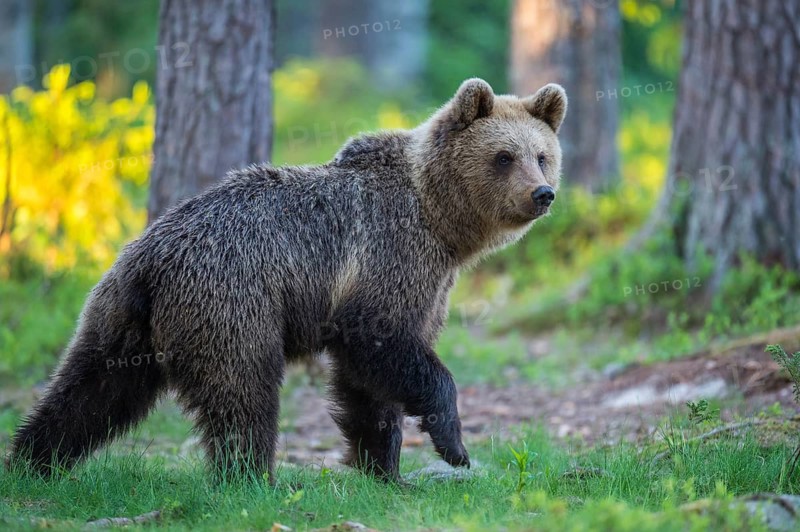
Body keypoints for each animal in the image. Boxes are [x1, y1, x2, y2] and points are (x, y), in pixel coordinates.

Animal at [9, 78, 567, 482]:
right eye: (503, 156)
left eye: (543, 155)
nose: (542, 194)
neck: (440, 221)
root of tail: (151, 258)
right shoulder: (390, 256)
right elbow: (386, 344)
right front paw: (452, 445)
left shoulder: (426, 282)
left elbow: (367, 386)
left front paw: (384, 470)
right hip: (232, 300)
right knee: (243, 390)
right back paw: (252, 477)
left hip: (120, 315)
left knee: (91, 386)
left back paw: (31, 460)